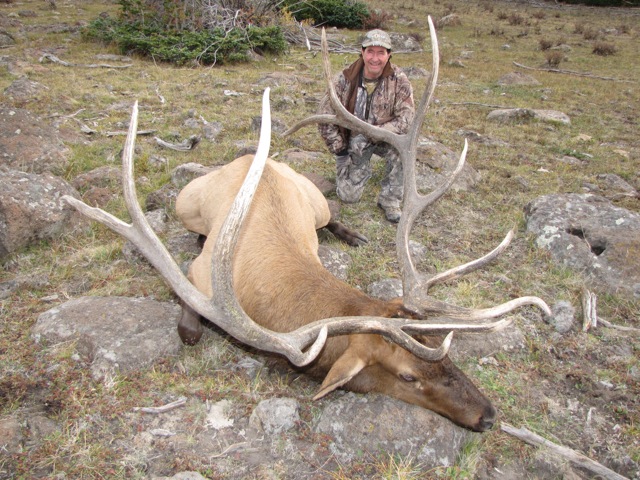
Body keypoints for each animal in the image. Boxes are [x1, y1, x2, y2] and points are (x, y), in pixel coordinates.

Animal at [63, 18, 552, 434]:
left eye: (446, 360)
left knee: (332, 212)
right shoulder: (196, 276)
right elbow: (189, 331)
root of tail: (250, 157)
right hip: (187, 202)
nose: (488, 415)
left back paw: (354, 234)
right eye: (408, 377)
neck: (262, 295)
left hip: (314, 201)